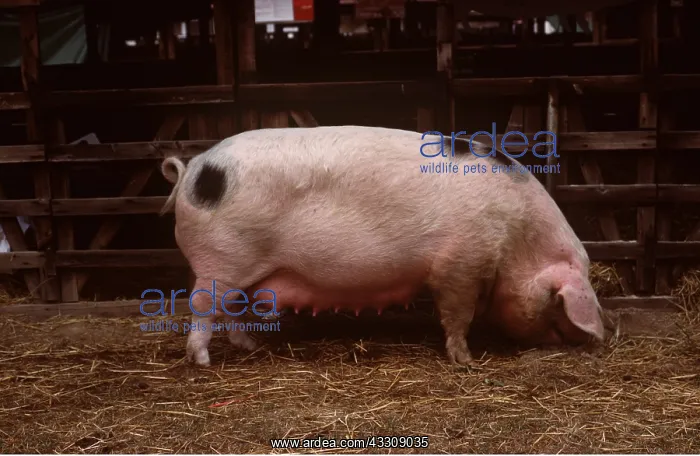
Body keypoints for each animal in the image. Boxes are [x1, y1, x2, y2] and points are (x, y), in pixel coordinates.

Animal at [160, 125, 604, 368]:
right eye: (559, 304)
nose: (592, 341)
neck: (519, 239)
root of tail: (191, 171)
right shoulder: (459, 263)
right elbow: (456, 314)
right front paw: (465, 360)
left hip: (237, 269)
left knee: (231, 309)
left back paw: (250, 346)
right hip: (221, 259)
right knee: (203, 307)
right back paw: (203, 362)